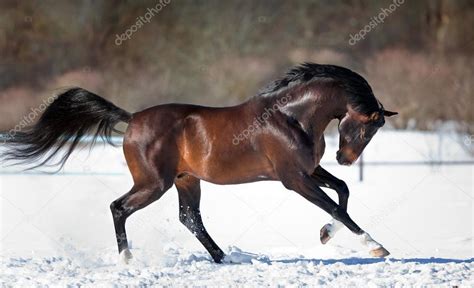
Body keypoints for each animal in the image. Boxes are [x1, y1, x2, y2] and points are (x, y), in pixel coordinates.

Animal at [1, 62, 398, 264]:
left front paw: (325, 234)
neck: (291, 117)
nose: (344, 159)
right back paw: (128, 259)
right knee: (119, 207)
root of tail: (132, 119)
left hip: (186, 179)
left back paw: (225, 258)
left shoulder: (309, 170)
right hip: (154, 183)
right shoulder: (294, 178)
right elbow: (338, 206)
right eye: (367, 127)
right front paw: (376, 246)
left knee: (189, 218)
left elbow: (342, 194)